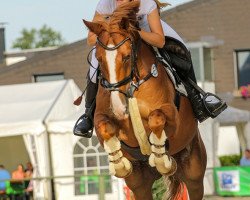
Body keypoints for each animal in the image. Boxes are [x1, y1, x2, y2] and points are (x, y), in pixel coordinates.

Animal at [83, 1, 206, 198]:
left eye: (127, 57)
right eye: (99, 59)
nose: (118, 108)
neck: (132, 86)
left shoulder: (172, 115)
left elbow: (157, 118)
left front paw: (163, 159)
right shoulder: (100, 117)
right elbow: (104, 127)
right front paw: (119, 164)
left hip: (194, 173)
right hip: (140, 184)